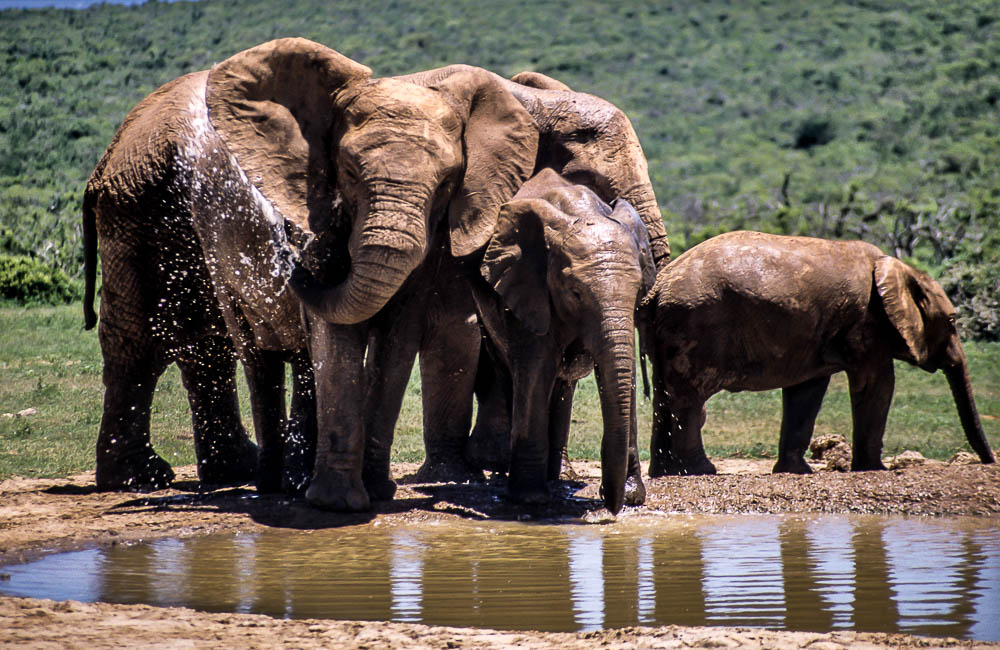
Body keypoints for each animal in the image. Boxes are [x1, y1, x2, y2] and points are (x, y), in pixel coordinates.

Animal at [468, 167, 656, 512]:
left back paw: (559, 476)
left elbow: (622, 376)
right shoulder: (529, 287)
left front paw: (632, 496)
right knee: (512, 376)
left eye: (638, 288)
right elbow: (535, 368)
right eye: (575, 292)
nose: (609, 503)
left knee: (563, 387)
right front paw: (529, 500)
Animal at [644, 230, 996, 474]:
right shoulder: (865, 323)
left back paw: (668, 473)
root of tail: (659, 286)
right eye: (952, 322)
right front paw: (875, 470)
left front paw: (796, 472)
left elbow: (806, 392)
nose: (988, 463)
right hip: (695, 324)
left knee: (665, 397)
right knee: (690, 399)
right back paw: (702, 470)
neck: (899, 269)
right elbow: (878, 384)